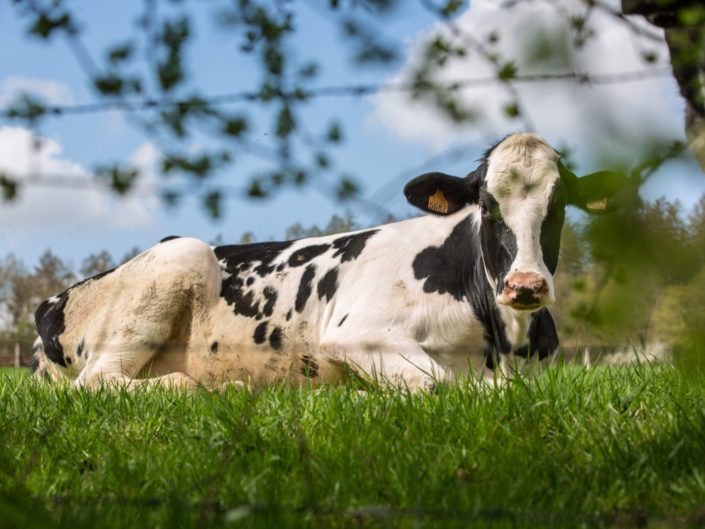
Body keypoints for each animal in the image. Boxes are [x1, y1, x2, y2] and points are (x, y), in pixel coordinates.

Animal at [31, 132, 620, 388]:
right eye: (487, 202)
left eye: (558, 204)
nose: (525, 285)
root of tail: (53, 299)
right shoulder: (354, 333)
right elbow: (446, 383)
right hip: (178, 256)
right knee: (100, 382)